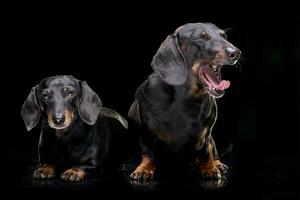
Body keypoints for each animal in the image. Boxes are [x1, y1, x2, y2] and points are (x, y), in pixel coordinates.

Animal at [129, 22, 241, 180]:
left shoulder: (206, 134)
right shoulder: (146, 133)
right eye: (201, 37)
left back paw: (217, 164)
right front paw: (144, 169)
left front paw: (210, 168)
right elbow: (148, 152)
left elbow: (206, 152)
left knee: (213, 151)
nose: (236, 52)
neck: (187, 99)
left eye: (224, 36)